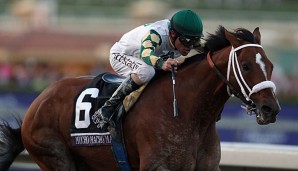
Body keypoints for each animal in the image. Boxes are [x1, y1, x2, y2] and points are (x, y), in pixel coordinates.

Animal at [0, 25, 280, 171]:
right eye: (245, 66)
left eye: (270, 65)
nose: (271, 109)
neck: (190, 113)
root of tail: (38, 102)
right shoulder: (157, 167)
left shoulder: (208, 167)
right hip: (54, 156)